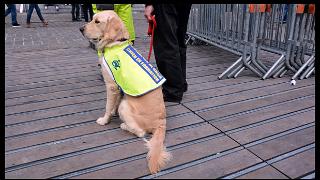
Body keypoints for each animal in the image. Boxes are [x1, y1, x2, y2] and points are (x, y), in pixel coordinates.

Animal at [79, 10, 171, 174]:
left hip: (126, 105)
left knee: (141, 132)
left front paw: (104, 120)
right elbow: (113, 104)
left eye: (97, 21)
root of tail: (161, 122)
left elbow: (108, 106)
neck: (115, 42)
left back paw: (124, 126)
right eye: (92, 19)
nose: (81, 29)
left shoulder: (111, 85)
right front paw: (112, 113)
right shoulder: (119, 86)